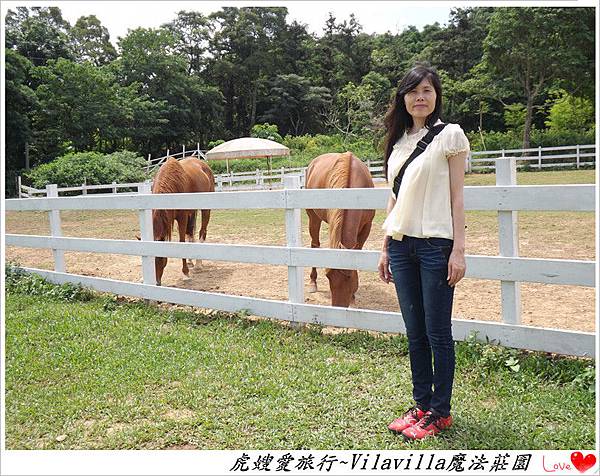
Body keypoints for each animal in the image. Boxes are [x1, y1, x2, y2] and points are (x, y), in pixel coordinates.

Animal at [151, 157, 215, 286]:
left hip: (205, 209)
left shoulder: (182, 217)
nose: (157, 283)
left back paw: (198, 264)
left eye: (161, 257)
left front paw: (185, 274)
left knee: (202, 231)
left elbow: (182, 241)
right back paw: (191, 261)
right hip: (192, 212)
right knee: (190, 232)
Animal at [305, 151, 375, 307]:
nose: (338, 308)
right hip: (313, 217)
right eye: (328, 276)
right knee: (314, 244)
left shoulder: (367, 226)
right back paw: (313, 282)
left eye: (350, 277)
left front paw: (353, 297)